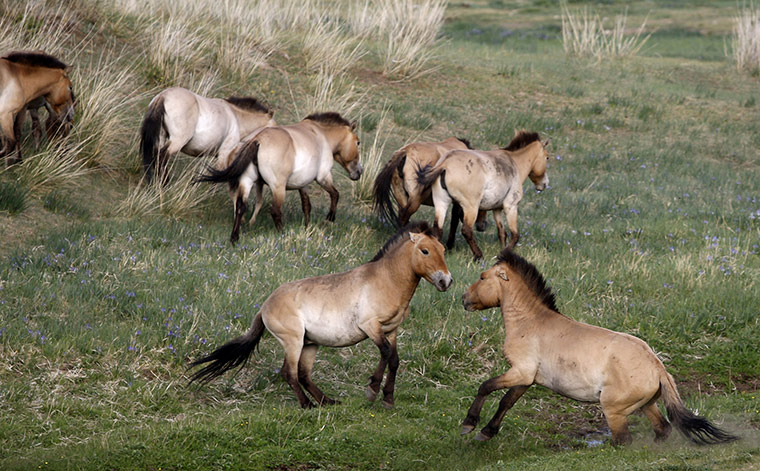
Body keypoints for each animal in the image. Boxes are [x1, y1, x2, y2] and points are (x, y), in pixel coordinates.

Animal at [140, 87, 276, 183]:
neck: (236, 117)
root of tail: (163, 96)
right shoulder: (224, 153)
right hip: (176, 141)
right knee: (162, 157)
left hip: (161, 138)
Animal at [189, 221, 452, 409]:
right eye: (425, 251)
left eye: (442, 249)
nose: (446, 281)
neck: (386, 280)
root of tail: (264, 307)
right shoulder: (371, 327)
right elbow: (386, 354)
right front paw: (372, 390)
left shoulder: (391, 330)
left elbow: (394, 360)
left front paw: (388, 399)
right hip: (294, 341)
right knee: (289, 373)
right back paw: (307, 405)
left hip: (310, 344)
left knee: (304, 375)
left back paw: (327, 401)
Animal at [196, 112, 363, 243]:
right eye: (358, 142)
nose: (359, 172)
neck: (320, 134)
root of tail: (258, 140)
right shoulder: (323, 176)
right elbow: (335, 194)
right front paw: (329, 218)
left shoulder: (303, 184)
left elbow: (307, 206)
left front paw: (307, 228)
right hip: (278, 187)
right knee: (275, 211)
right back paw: (282, 235)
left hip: (247, 182)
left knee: (240, 207)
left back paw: (234, 238)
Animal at [416, 131, 549, 260]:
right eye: (547, 158)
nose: (545, 184)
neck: (513, 163)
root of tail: (445, 164)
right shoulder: (511, 206)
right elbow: (515, 235)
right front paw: (503, 254)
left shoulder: (497, 209)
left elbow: (502, 233)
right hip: (471, 207)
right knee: (467, 230)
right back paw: (479, 256)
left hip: (441, 203)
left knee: (438, 229)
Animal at [460, 248, 739, 446]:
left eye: (482, 277)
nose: (464, 298)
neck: (531, 322)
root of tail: (659, 369)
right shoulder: (527, 378)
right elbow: (505, 402)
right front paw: (486, 432)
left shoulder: (520, 371)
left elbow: (486, 387)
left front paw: (469, 424)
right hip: (647, 405)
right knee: (663, 429)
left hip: (613, 410)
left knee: (623, 441)